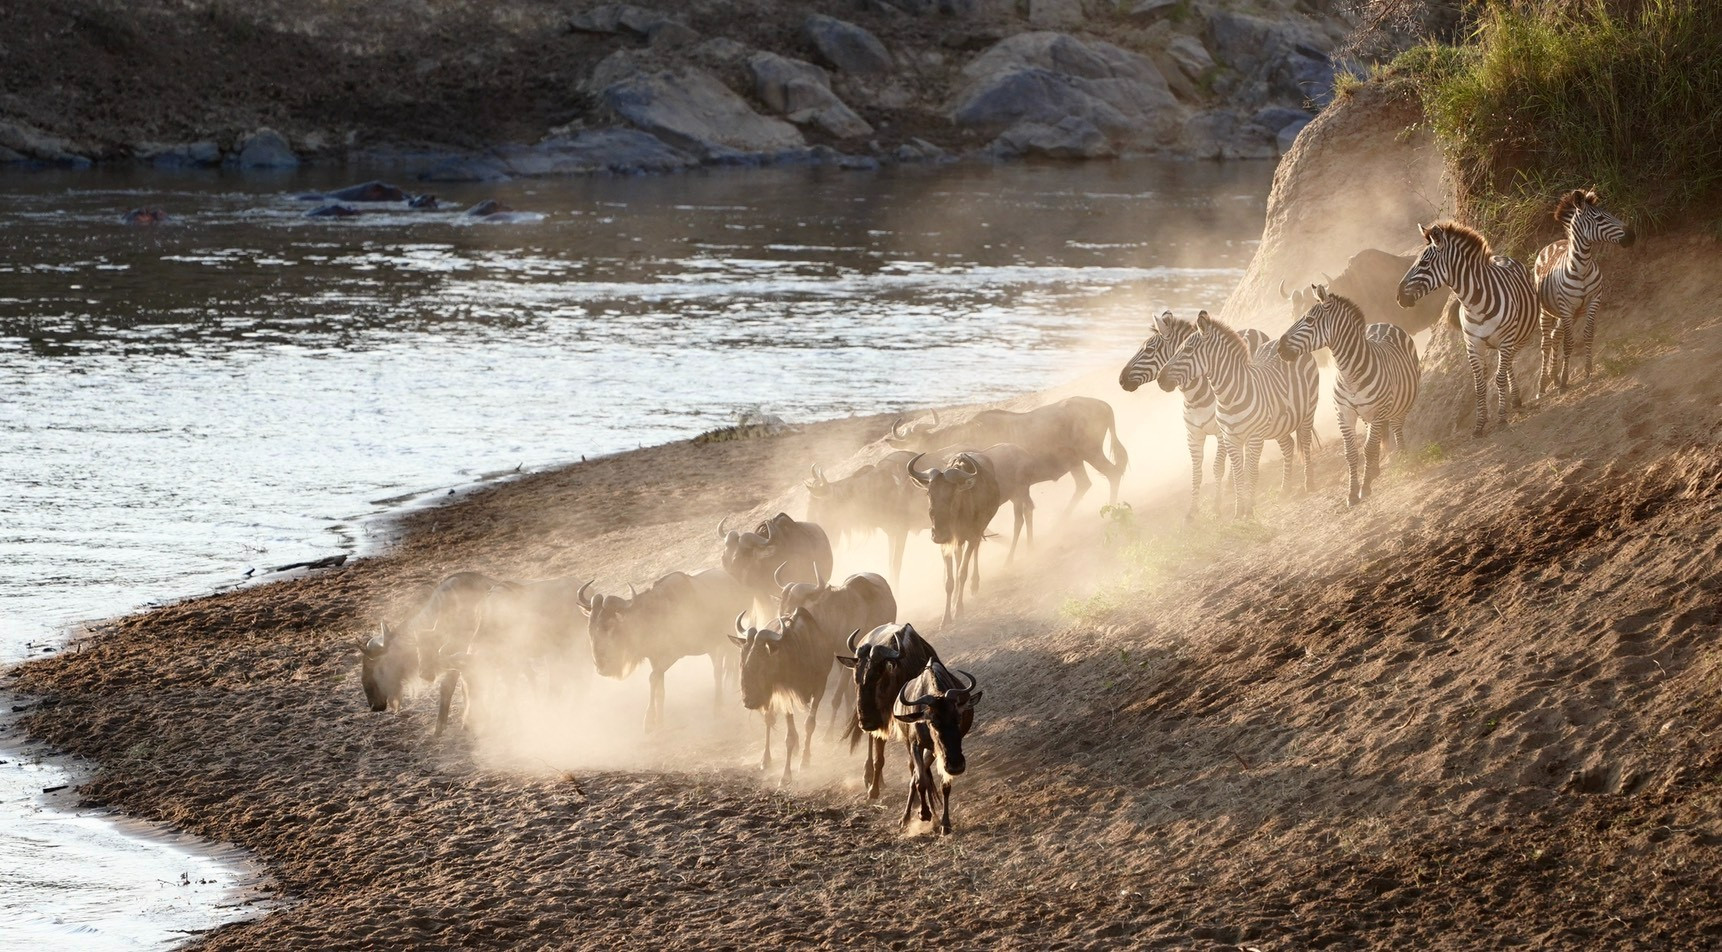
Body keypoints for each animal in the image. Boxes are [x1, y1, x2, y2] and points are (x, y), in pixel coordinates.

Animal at [1115, 309, 1281, 519]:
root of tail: (1254, 329)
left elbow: (1217, 468)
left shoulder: (1220, 433)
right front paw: (1192, 512)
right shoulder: (1193, 435)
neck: (1195, 397)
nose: (1121, 379)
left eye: (1149, 350)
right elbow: (1196, 472)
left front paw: (1216, 507)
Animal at [1157, 311, 1315, 519]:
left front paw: (1248, 510)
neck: (1227, 397)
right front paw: (1239, 511)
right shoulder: (1230, 438)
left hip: (1308, 412)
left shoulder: (1253, 437)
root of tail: (1279, 343)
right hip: (1279, 423)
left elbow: (1250, 472)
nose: (1160, 379)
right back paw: (1285, 489)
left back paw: (1308, 483)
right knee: (1288, 446)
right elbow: (1238, 474)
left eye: (1188, 350)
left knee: (1305, 442)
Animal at [1288, 285, 1418, 509]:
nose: (1280, 347)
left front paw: (1364, 488)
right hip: (1367, 414)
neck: (1350, 373)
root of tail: (1384, 324)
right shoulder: (1344, 413)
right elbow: (1351, 453)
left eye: (1310, 320)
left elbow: (1368, 448)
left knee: (1396, 427)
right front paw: (1352, 492)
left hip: (1401, 403)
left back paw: (1402, 457)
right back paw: (1374, 469)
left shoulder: (1378, 411)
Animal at [1391, 220, 1542, 432]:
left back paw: (1514, 399)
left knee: (1507, 364)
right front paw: (1480, 423)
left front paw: (1501, 416)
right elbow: (1479, 385)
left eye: (1424, 263)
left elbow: (1499, 378)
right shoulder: (1472, 345)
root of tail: (1501, 257)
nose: (1398, 297)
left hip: (1519, 336)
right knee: (1496, 368)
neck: (1476, 303)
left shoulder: (1505, 341)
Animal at [1542, 189, 1632, 389]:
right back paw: (1544, 384)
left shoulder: (1593, 300)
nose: (1633, 235)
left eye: (1609, 213)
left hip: (1571, 313)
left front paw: (1588, 371)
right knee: (1546, 341)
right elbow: (1569, 343)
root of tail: (1553, 243)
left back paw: (1553, 376)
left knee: (1555, 335)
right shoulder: (1566, 307)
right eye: (1599, 218)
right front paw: (1565, 379)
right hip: (1548, 311)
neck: (1581, 267)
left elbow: (1588, 335)